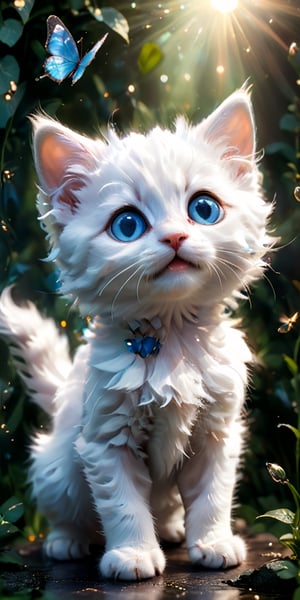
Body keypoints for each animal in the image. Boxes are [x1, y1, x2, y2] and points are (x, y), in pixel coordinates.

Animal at [0, 90, 274, 580]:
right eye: (127, 225)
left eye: (203, 209)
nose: (175, 237)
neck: (174, 339)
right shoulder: (106, 441)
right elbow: (123, 505)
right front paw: (132, 554)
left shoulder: (216, 434)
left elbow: (212, 497)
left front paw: (213, 543)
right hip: (59, 471)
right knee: (67, 513)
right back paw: (66, 543)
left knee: (168, 508)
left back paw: (173, 529)